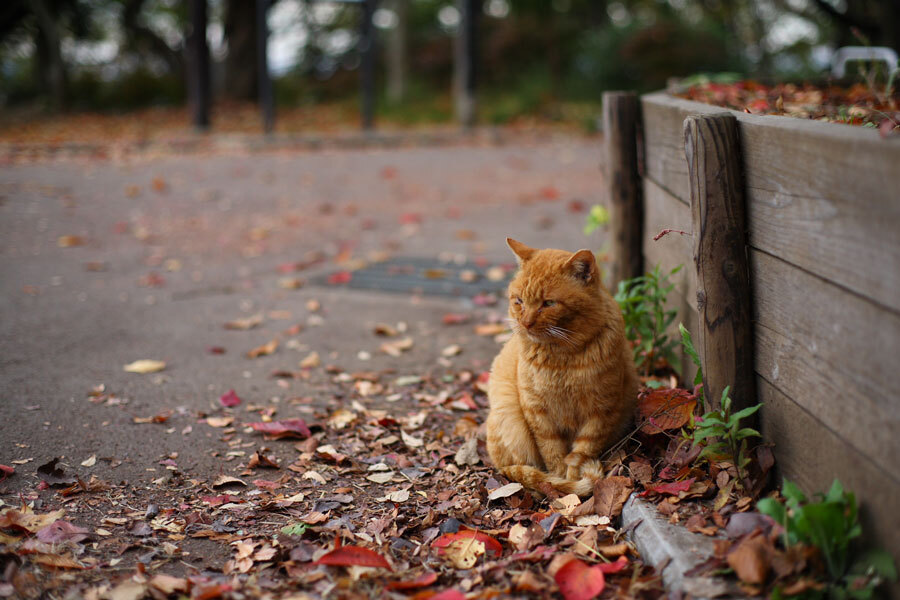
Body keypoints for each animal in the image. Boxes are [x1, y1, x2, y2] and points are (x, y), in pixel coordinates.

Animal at [486, 237, 640, 494]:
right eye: (519, 301)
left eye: (548, 303)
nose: (525, 323)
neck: (561, 359)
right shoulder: (538, 411)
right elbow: (553, 451)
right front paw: (560, 481)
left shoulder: (602, 409)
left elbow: (582, 450)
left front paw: (572, 480)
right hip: (509, 420)